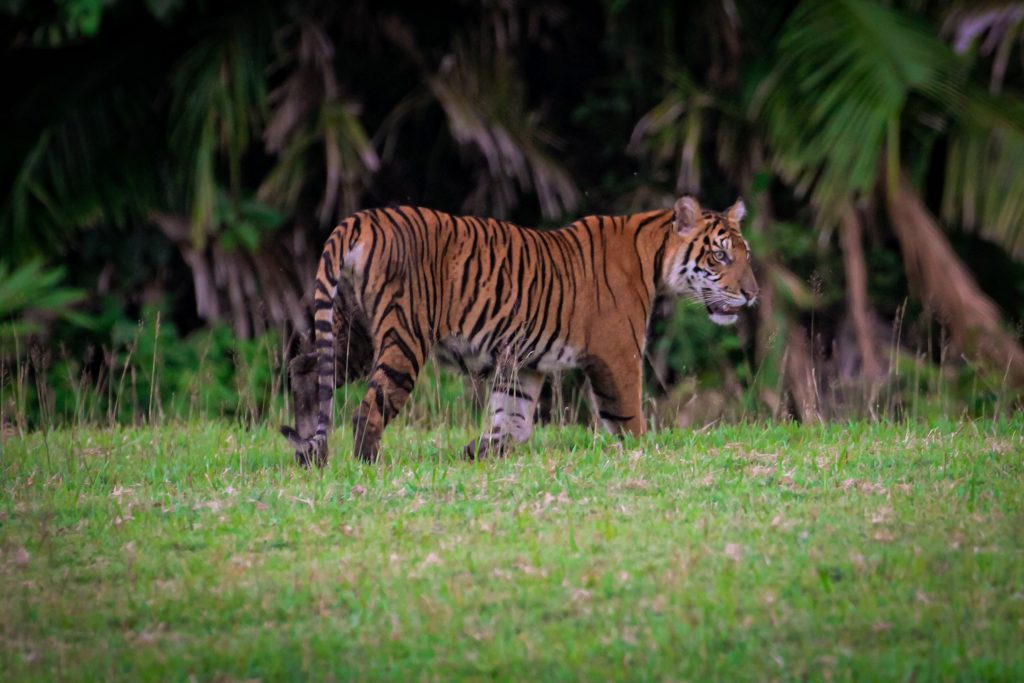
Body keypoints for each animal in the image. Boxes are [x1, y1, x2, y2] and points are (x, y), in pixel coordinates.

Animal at [280, 195, 758, 466]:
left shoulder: (525, 363)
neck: (655, 254)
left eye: (746, 254)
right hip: (404, 338)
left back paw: (308, 452)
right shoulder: (617, 354)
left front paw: (481, 451)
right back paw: (370, 464)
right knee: (369, 407)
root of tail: (361, 219)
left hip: (354, 335)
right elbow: (628, 418)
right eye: (719, 256)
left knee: (306, 367)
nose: (753, 294)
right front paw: (644, 452)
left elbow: (513, 418)